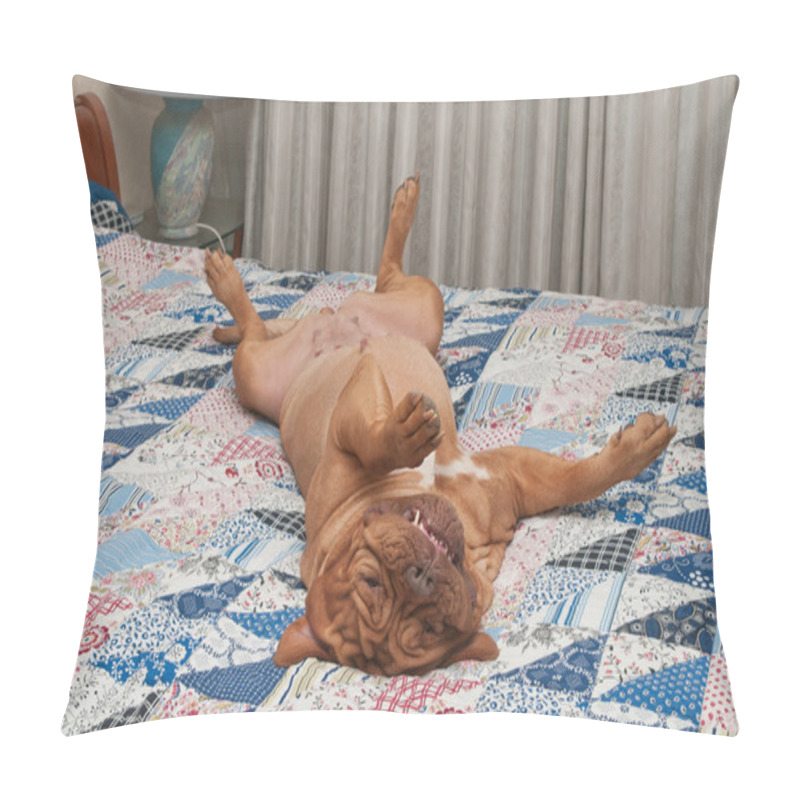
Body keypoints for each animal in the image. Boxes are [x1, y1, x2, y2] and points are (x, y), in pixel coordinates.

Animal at [202, 175, 676, 676]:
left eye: (369, 579)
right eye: (431, 629)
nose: (419, 578)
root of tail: (320, 322)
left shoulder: (358, 426)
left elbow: (579, 478)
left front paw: (636, 451)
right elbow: (573, 481)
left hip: (420, 309)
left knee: (368, 283)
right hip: (253, 373)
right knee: (257, 329)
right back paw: (229, 279)